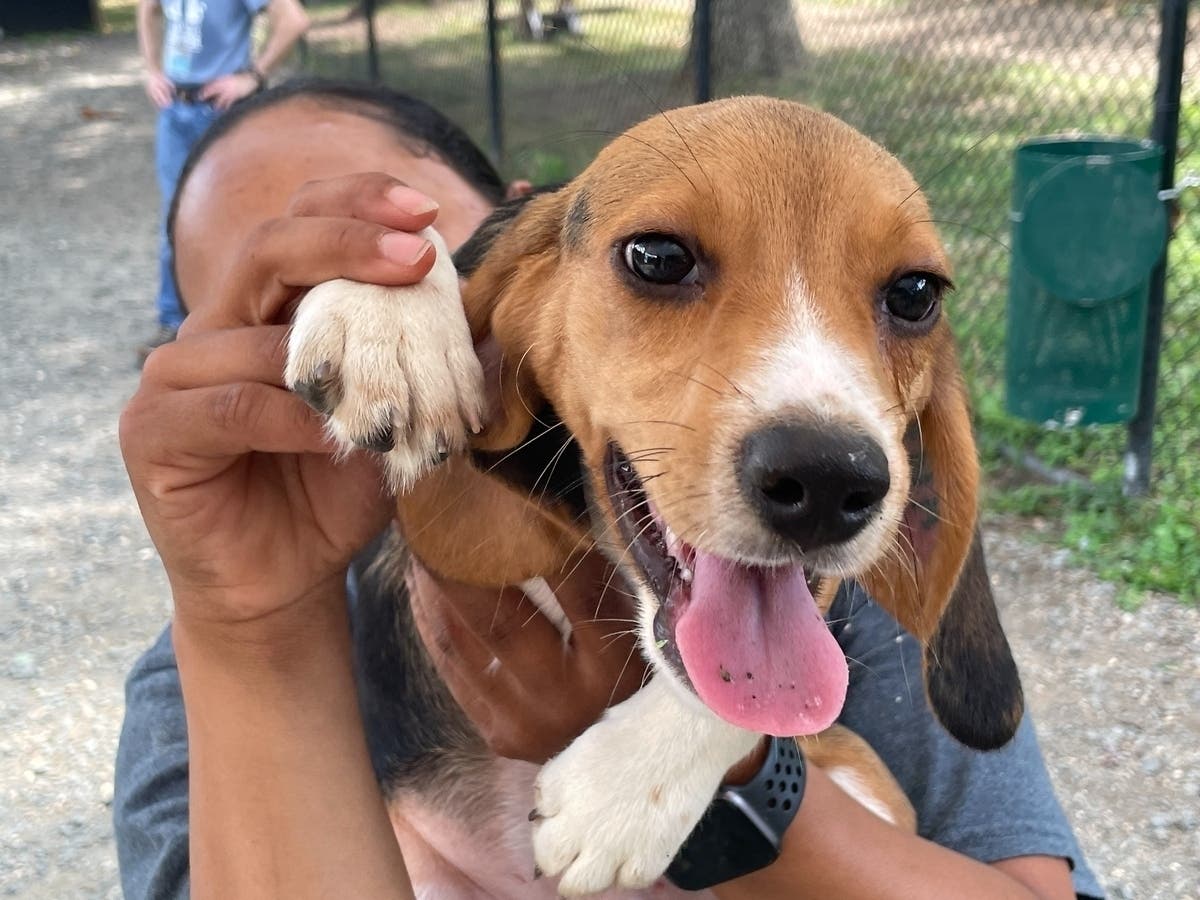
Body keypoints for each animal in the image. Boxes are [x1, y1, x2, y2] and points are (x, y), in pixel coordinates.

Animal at [283, 95, 1022, 897]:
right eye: (659, 258)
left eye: (916, 294)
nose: (830, 480)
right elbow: (452, 240)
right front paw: (386, 314)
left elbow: (760, 696)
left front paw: (626, 789)